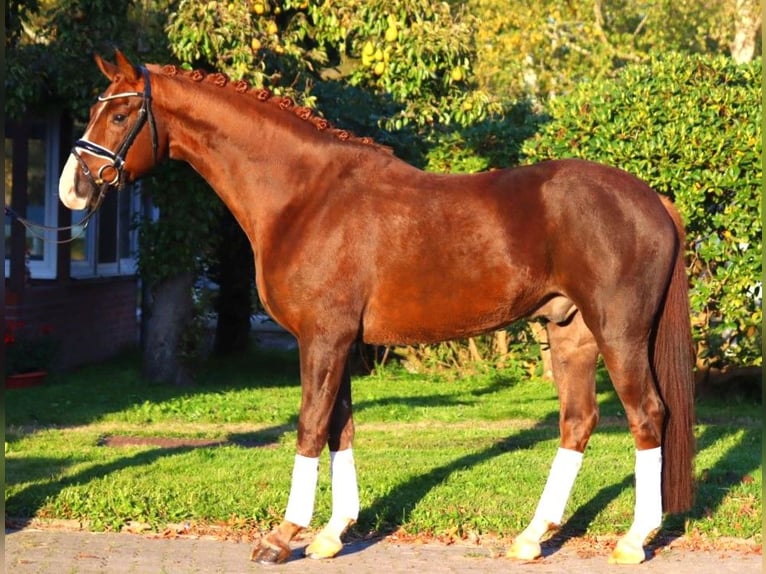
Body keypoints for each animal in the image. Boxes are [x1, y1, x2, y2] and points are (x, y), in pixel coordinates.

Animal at [60, 51, 696, 564]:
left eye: (120, 115)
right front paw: (330, 534)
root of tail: (653, 199)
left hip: (619, 334)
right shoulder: (338, 341)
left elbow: (311, 425)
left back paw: (634, 540)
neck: (304, 195)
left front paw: (282, 536)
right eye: (96, 109)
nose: (74, 188)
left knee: (647, 416)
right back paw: (531, 537)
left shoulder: (321, 338)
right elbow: (340, 426)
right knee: (578, 421)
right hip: (569, 331)